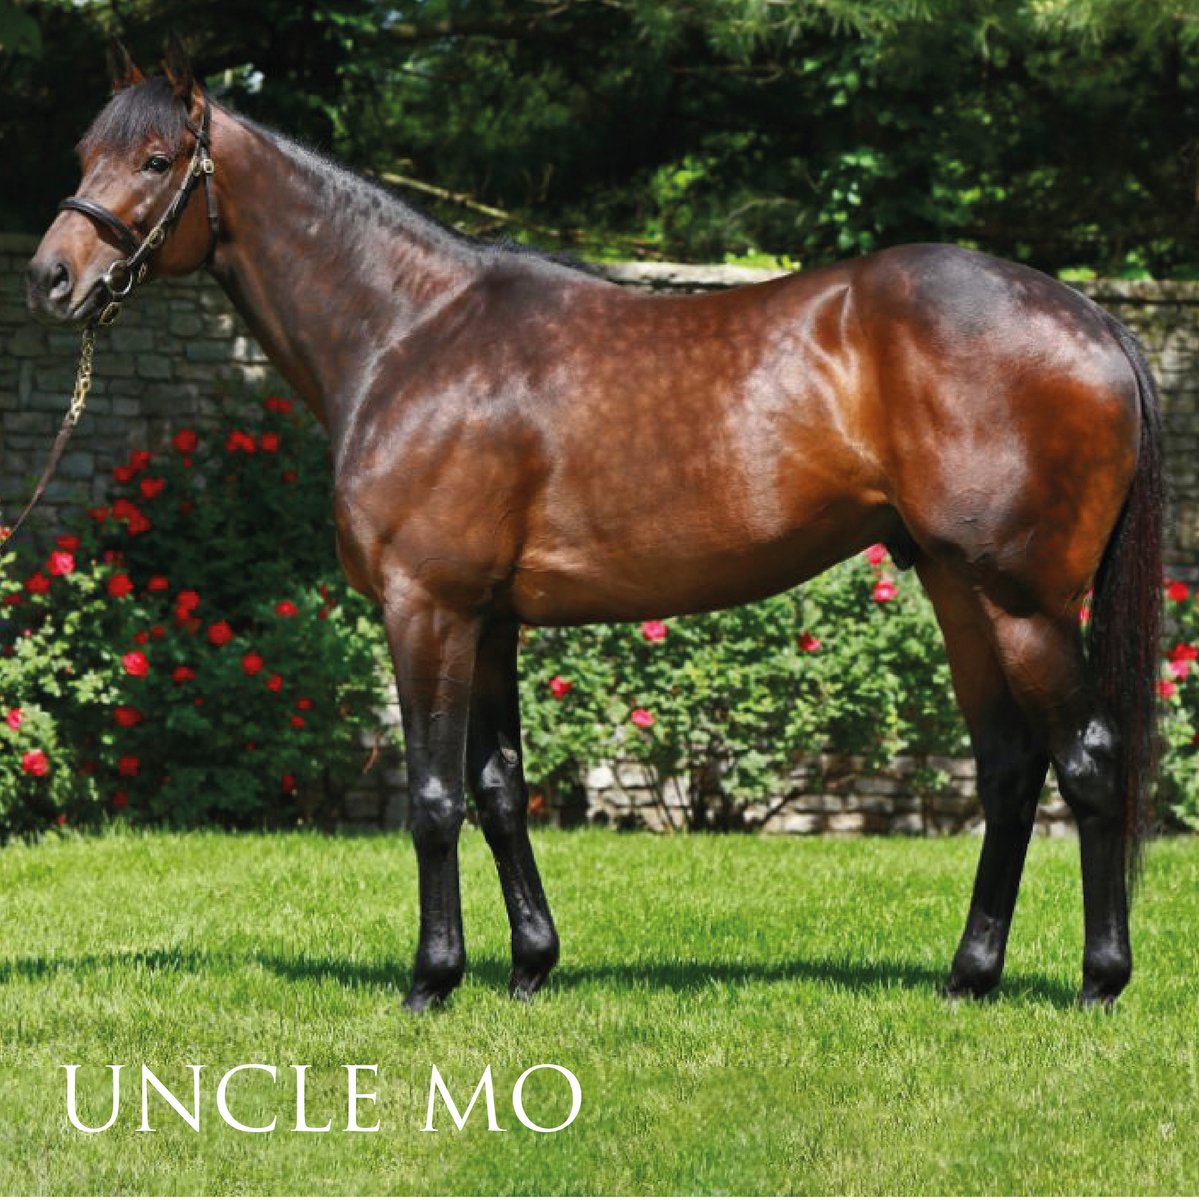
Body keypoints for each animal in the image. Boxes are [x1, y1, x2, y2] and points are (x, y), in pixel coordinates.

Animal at [26, 39, 1164, 1011]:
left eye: (157, 158)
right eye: (84, 154)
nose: (51, 278)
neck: (411, 334)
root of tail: (1091, 318)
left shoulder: (426, 608)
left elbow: (433, 797)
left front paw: (432, 980)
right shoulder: (487, 621)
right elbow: (498, 788)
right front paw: (530, 967)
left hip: (1023, 600)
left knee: (1088, 759)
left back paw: (1098, 982)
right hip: (954, 586)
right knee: (1009, 768)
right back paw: (968, 978)